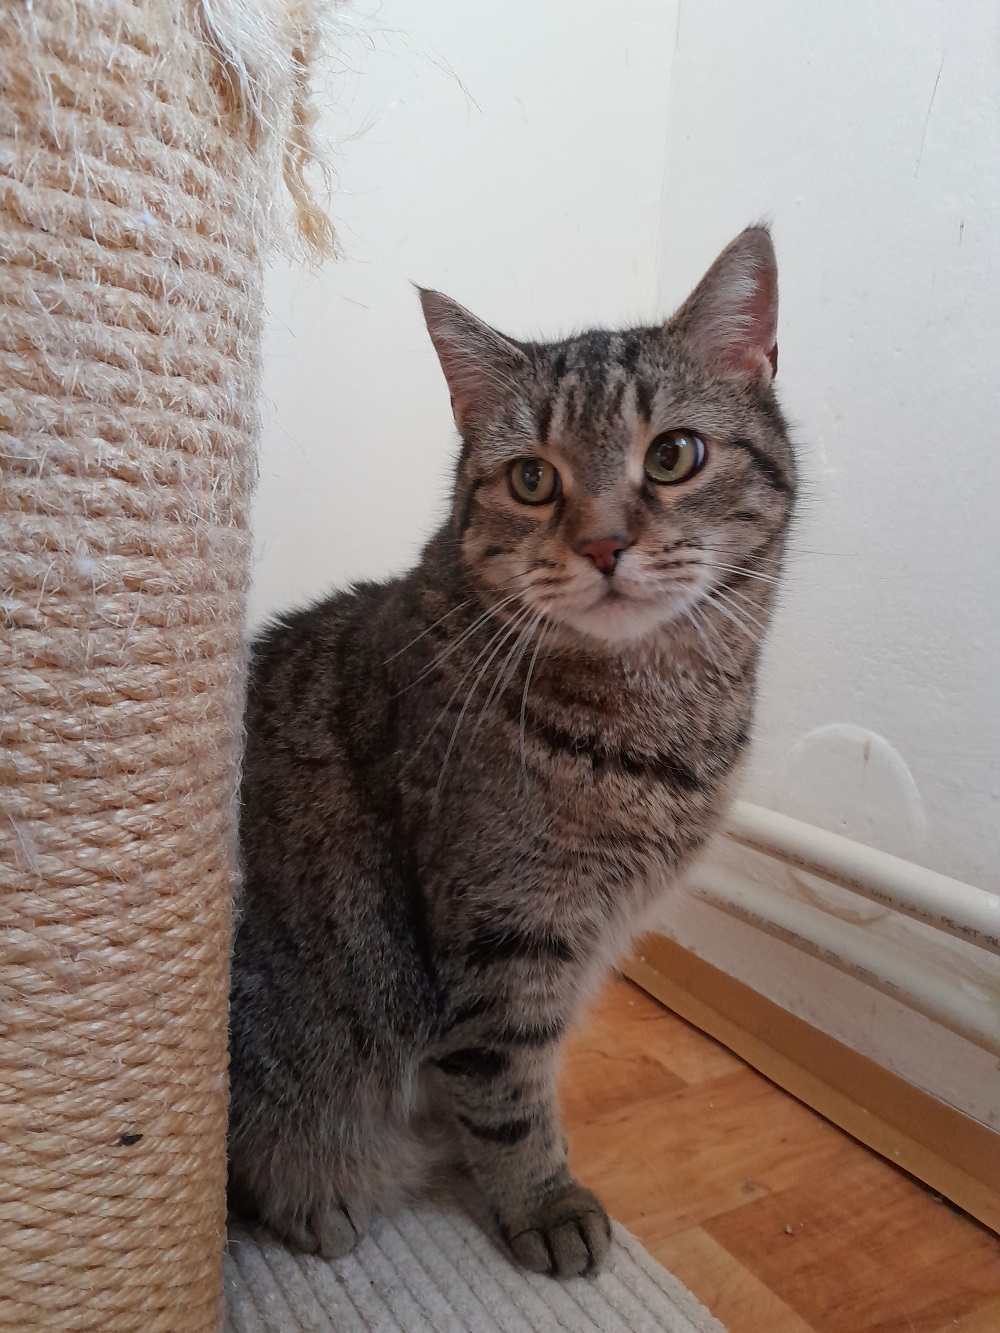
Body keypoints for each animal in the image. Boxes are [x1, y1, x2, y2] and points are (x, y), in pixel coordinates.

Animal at [227, 225, 796, 1278]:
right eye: (533, 478)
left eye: (675, 455)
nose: (606, 544)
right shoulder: (508, 938)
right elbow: (510, 1093)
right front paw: (541, 1199)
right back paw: (316, 1199)